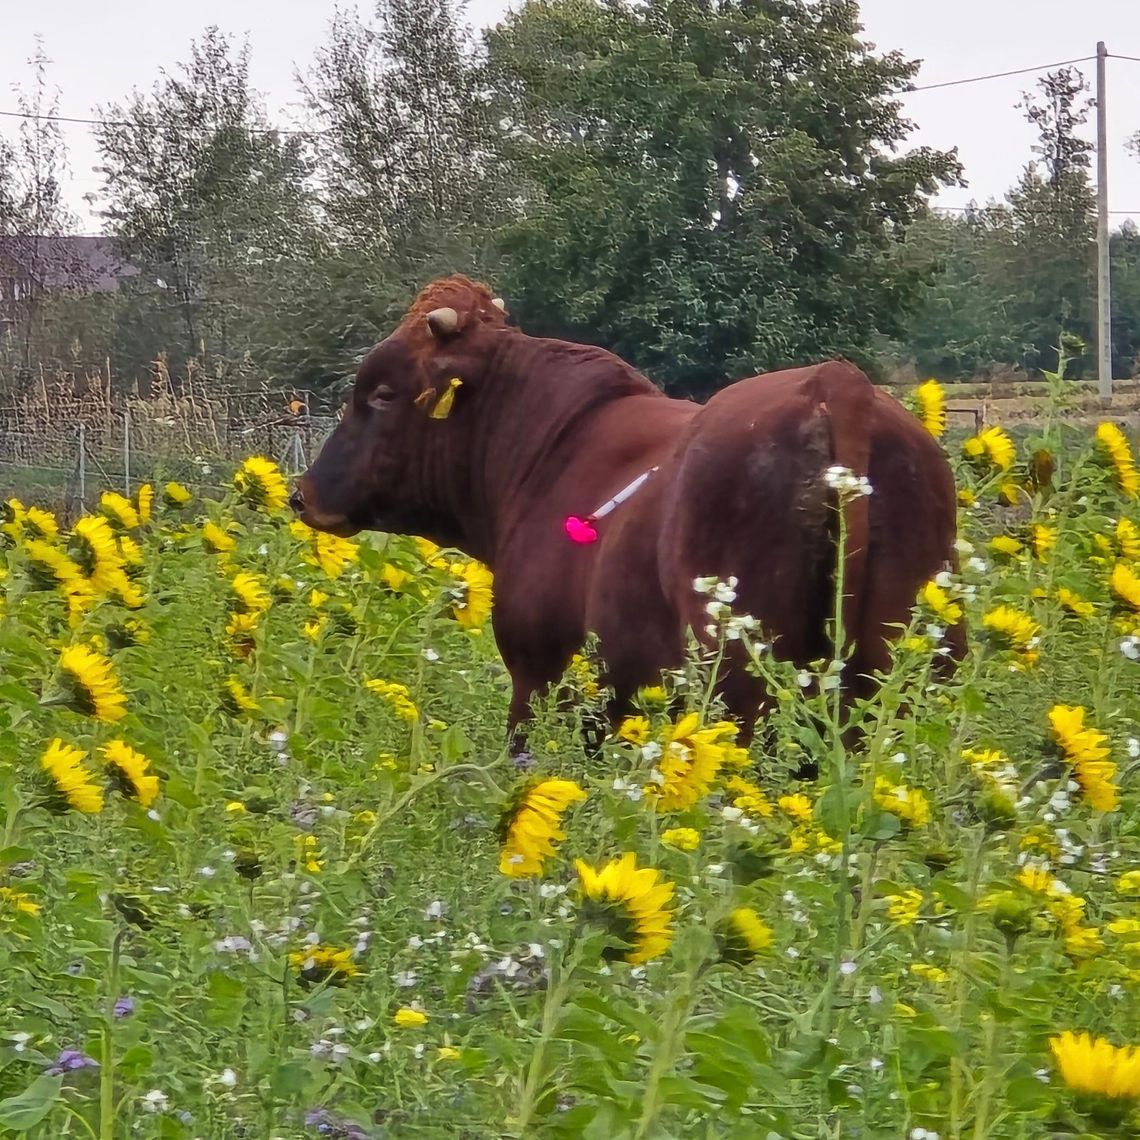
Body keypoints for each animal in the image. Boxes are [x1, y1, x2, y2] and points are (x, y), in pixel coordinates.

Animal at [291, 272, 962, 743]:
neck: (546, 449)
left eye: (381, 392)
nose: (304, 493)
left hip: (742, 687)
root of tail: (836, 382)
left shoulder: (539, 678)